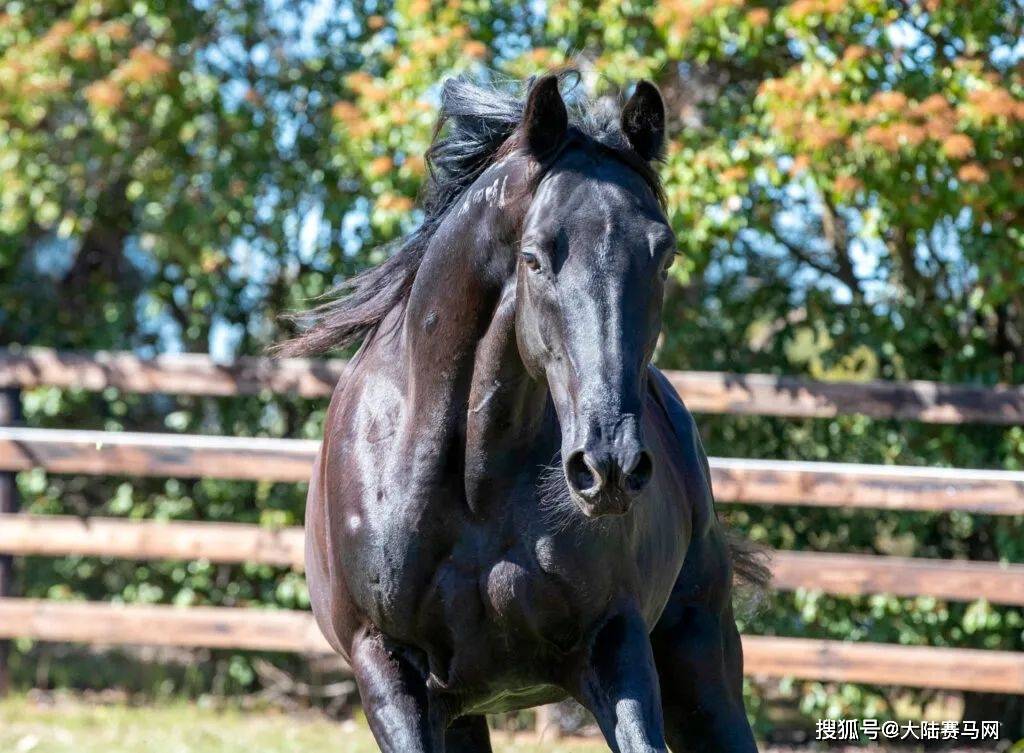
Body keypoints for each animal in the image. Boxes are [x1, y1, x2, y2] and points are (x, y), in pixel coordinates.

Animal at [284, 72, 765, 753]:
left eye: (664, 255)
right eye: (535, 256)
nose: (608, 466)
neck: (471, 484)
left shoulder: (614, 644)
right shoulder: (387, 668)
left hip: (700, 661)